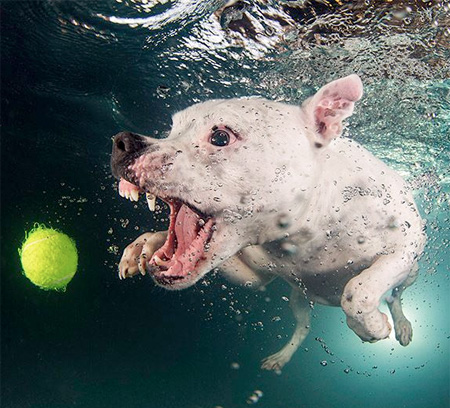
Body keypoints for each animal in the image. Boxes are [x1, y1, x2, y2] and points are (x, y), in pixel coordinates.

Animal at [110, 75, 424, 372]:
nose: (122, 141)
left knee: (396, 296)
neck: (300, 237)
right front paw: (146, 244)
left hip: (411, 273)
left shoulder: (405, 245)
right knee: (303, 325)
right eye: (171, 130)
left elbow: (358, 291)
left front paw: (374, 326)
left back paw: (401, 325)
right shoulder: (256, 275)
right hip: (298, 298)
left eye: (221, 137)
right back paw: (282, 357)